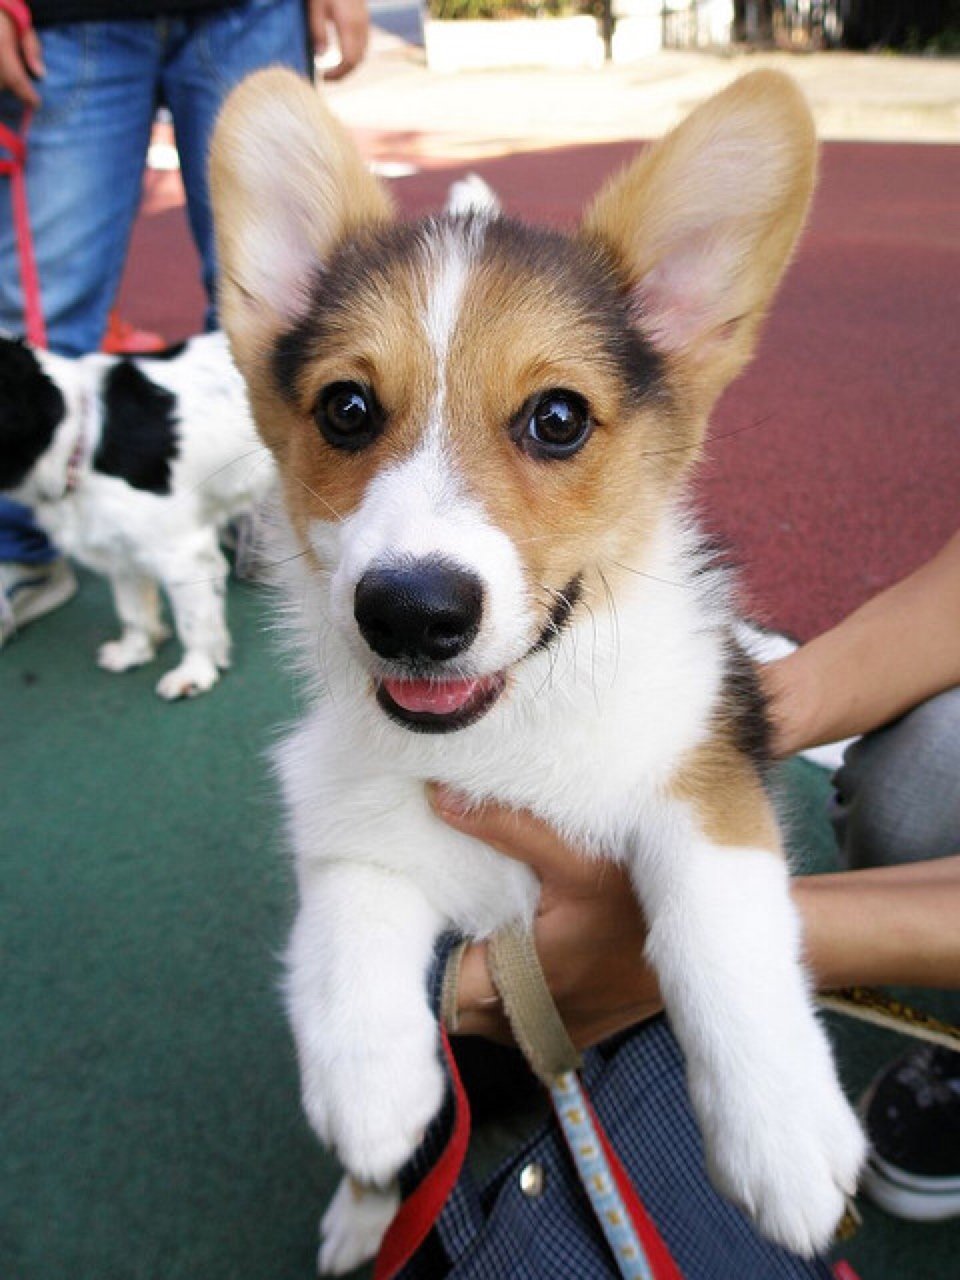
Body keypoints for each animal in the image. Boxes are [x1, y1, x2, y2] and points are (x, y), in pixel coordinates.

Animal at [0, 325, 273, 696]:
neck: (78, 443)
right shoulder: (119, 548)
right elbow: (131, 611)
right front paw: (135, 651)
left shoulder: (184, 554)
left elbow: (194, 622)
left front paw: (195, 672)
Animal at [212, 67, 870, 1269]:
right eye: (345, 408)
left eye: (557, 417)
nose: (411, 611)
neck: (504, 737)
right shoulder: (342, 798)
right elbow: (353, 896)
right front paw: (370, 1090)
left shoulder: (702, 760)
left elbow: (718, 916)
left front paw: (786, 1132)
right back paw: (367, 1209)